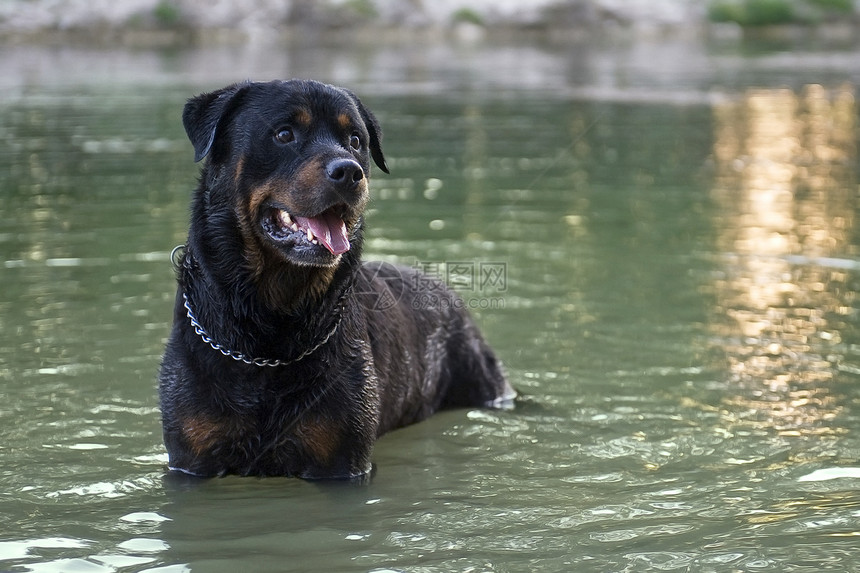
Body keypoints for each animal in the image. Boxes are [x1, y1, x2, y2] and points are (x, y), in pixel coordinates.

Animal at [158, 78, 512, 476]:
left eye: (355, 140)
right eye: (284, 134)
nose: (349, 171)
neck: (268, 338)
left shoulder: (343, 462)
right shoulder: (191, 461)